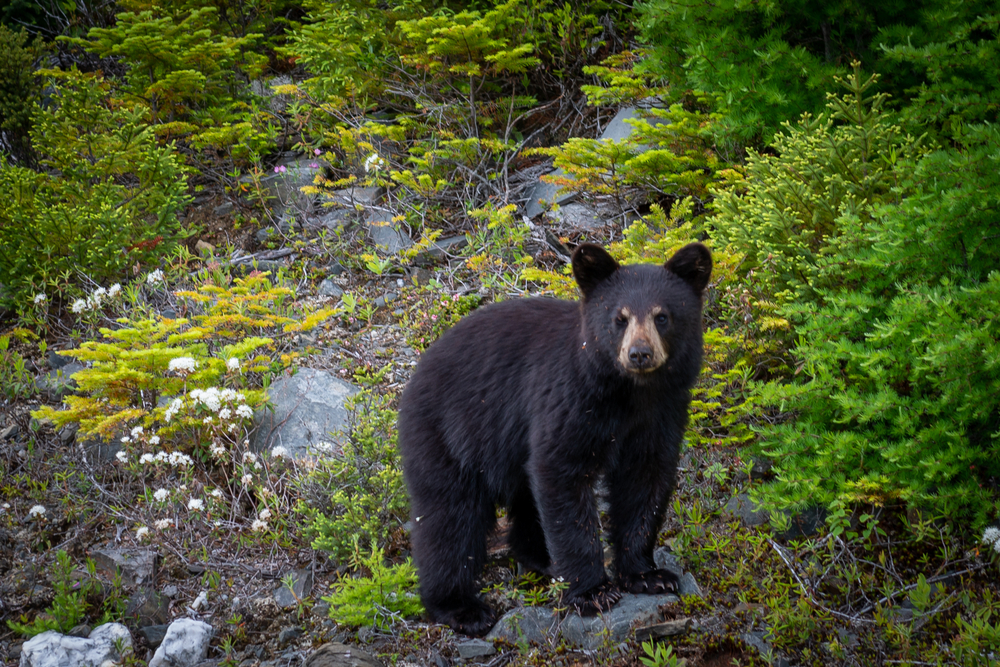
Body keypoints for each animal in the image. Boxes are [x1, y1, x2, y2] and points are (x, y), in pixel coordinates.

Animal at [397, 241, 712, 636]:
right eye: (620, 318)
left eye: (662, 316)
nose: (639, 353)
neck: (630, 393)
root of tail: (416, 373)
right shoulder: (569, 400)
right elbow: (561, 474)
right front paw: (592, 592)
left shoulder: (662, 413)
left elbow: (645, 481)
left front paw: (648, 575)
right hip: (448, 435)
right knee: (449, 518)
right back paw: (460, 607)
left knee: (524, 499)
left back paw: (542, 558)